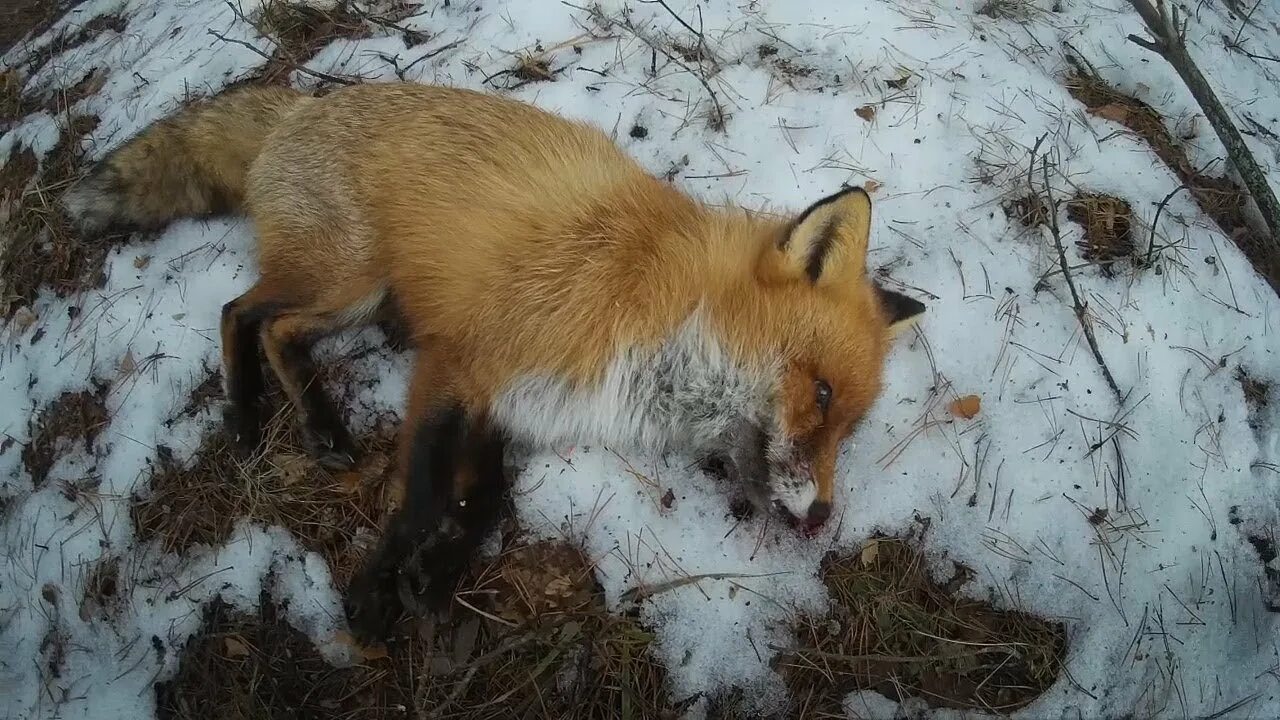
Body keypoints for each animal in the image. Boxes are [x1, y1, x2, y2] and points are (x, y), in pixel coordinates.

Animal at [64, 81, 926, 635]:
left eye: (849, 429)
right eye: (821, 395)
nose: (822, 515)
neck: (654, 311)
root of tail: (305, 104)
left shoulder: (512, 404)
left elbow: (486, 502)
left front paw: (436, 576)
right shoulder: (459, 365)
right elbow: (418, 499)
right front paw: (377, 590)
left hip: (360, 297)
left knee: (276, 328)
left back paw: (313, 424)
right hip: (350, 279)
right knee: (241, 311)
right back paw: (254, 416)